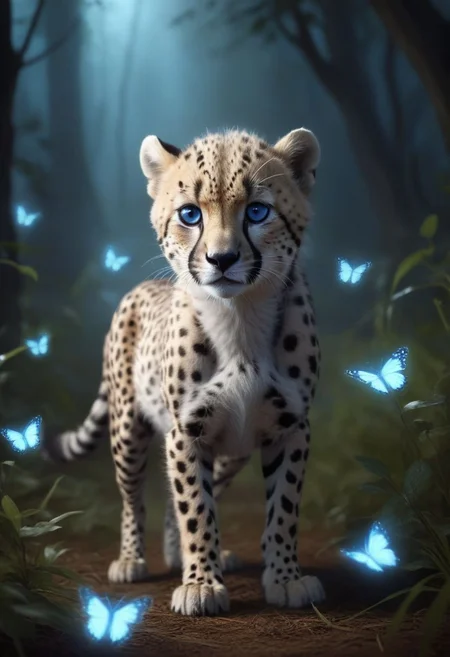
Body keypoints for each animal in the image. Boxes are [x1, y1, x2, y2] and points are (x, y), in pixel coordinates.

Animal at [44, 126, 326, 616]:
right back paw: (132, 560)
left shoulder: (291, 426)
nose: (222, 259)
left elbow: (283, 508)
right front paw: (200, 584)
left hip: (232, 451)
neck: (240, 319)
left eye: (257, 211)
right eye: (190, 214)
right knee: (134, 499)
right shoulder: (186, 431)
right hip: (128, 431)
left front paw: (285, 578)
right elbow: (195, 505)